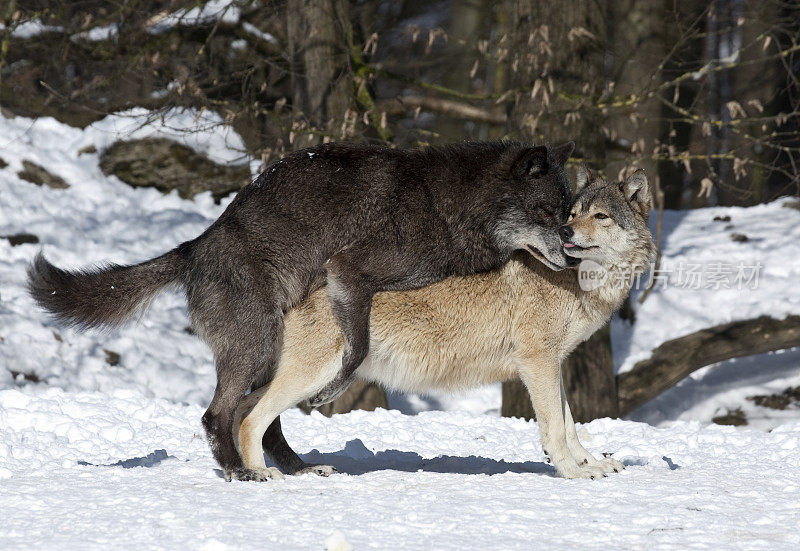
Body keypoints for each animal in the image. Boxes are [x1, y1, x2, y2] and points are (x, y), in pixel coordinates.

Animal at [233, 167, 656, 478]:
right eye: (572, 215)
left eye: (599, 216)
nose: (566, 232)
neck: (578, 280)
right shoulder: (537, 363)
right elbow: (554, 428)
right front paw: (573, 473)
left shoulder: (554, 364)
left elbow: (569, 424)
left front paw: (592, 464)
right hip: (312, 378)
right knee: (251, 420)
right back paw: (260, 475)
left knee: (243, 412)